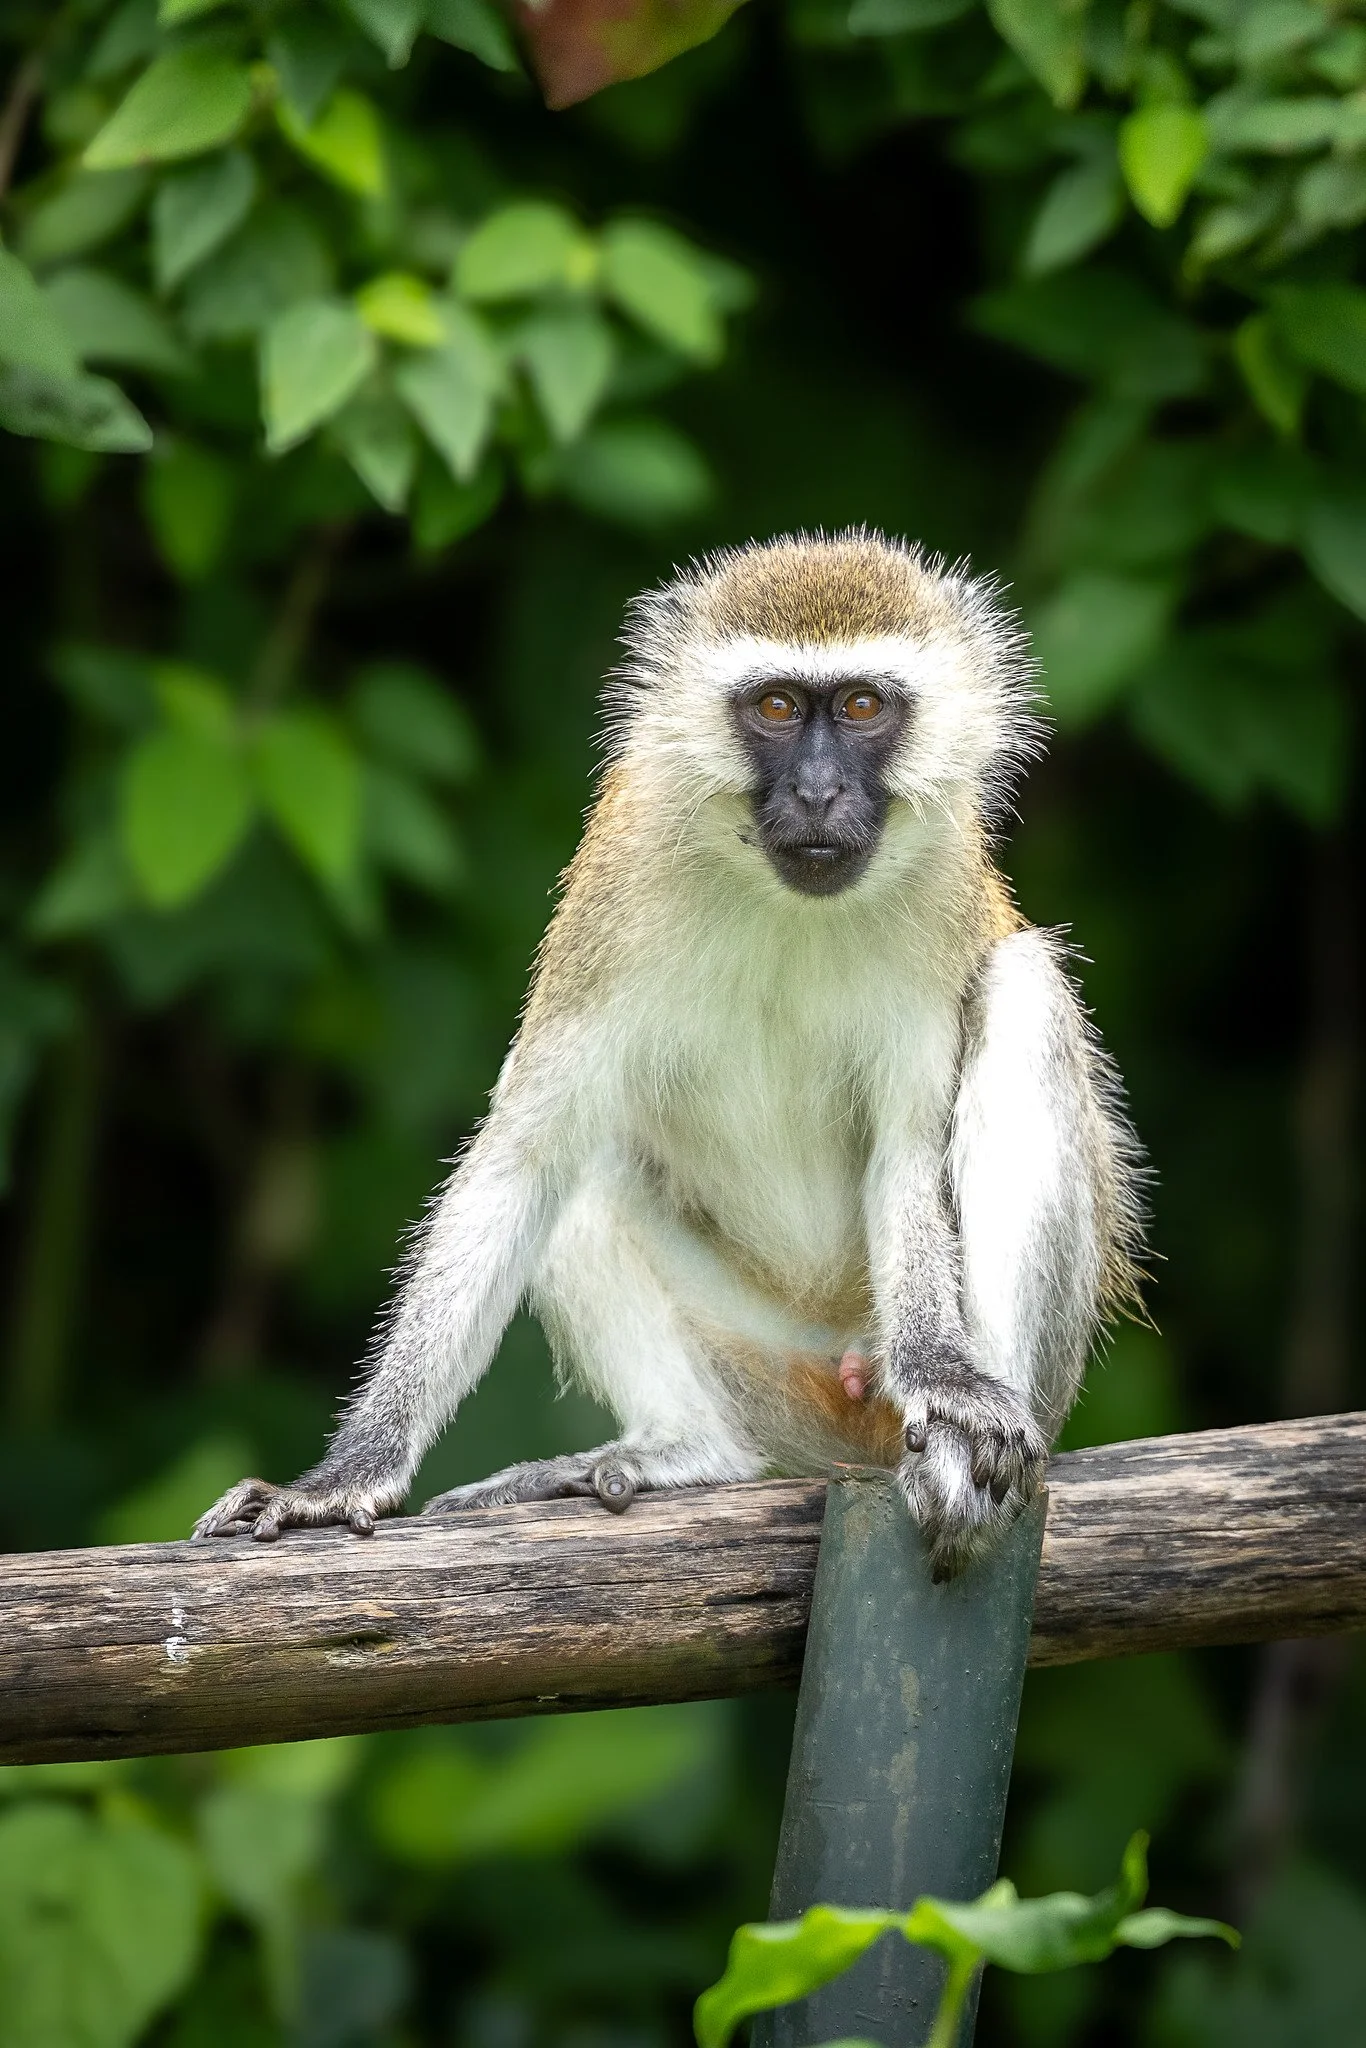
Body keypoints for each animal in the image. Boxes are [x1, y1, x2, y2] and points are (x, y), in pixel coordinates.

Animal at [194, 530, 1143, 1579]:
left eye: (861, 706)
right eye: (776, 708)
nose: (817, 791)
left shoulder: (938, 888)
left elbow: (908, 1148)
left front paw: (948, 1379)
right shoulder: (620, 878)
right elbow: (521, 1165)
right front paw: (344, 1477)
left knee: (1026, 992)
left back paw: (970, 1452)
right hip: (770, 1369)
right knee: (582, 1165)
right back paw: (686, 1451)